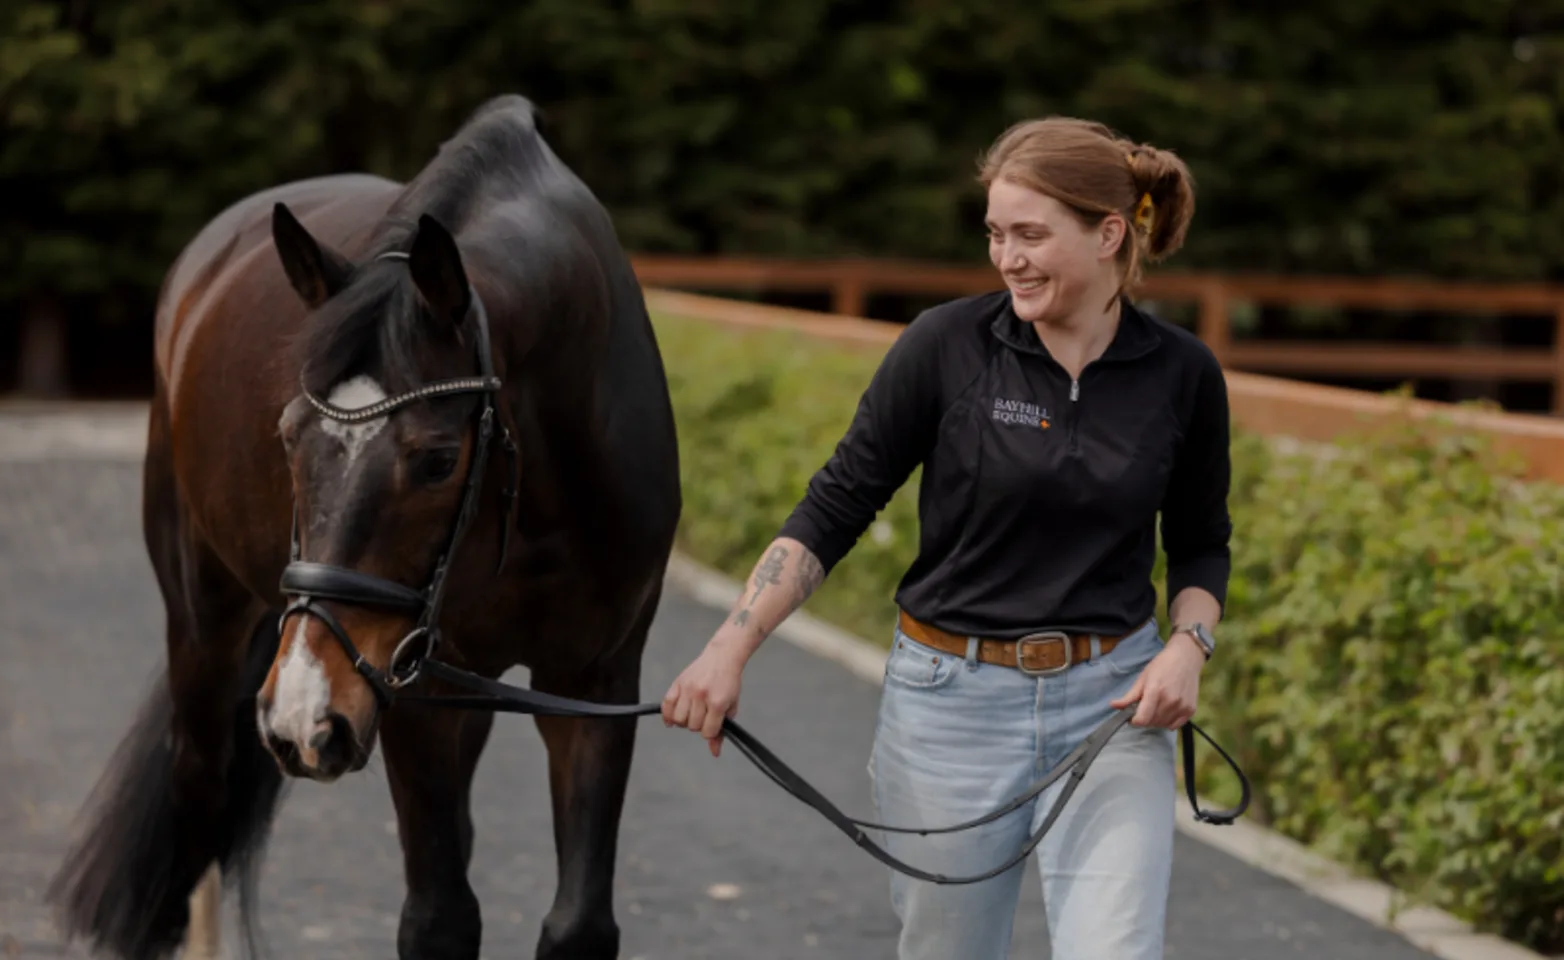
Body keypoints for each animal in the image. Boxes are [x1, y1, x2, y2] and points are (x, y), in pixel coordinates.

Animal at [46, 93, 683, 960]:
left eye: (439, 459)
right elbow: (440, 917)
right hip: (204, 621)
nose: (301, 718)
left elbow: (577, 921)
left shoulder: (596, 685)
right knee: (200, 796)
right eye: (288, 435)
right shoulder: (405, 688)